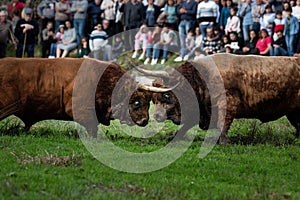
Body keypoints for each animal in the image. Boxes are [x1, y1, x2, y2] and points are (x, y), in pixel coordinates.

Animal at [139, 53, 300, 144]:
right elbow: (187, 125)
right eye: (153, 100)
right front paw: (174, 136)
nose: (156, 116)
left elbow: (223, 123)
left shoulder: (228, 102)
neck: (202, 79)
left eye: (166, 95)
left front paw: (223, 141)